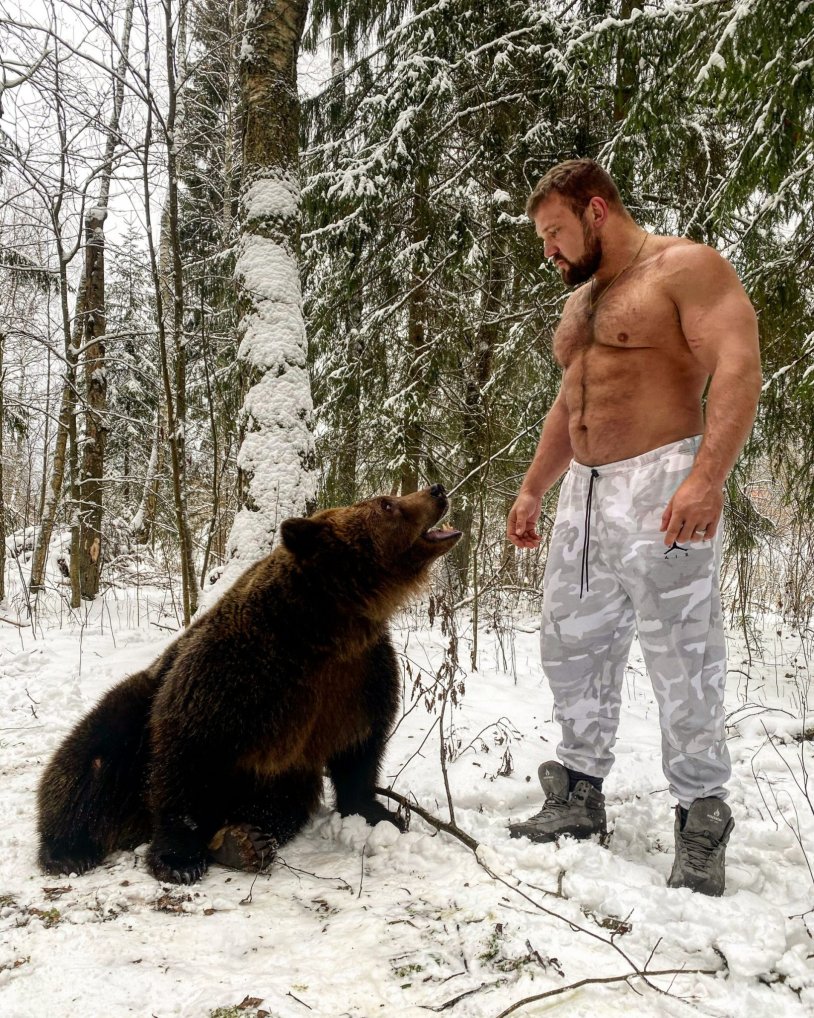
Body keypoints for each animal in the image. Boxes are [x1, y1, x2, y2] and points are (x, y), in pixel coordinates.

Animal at [37, 485, 461, 884]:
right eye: (386, 504)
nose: (437, 490)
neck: (330, 626)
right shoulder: (238, 668)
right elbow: (187, 748)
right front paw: (178, 860)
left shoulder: (360, 677)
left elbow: (361, 746)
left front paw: (381, 812)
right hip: (131, 715)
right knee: (91, 760)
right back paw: (67, 851)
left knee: (288, 799)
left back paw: (243, 840)